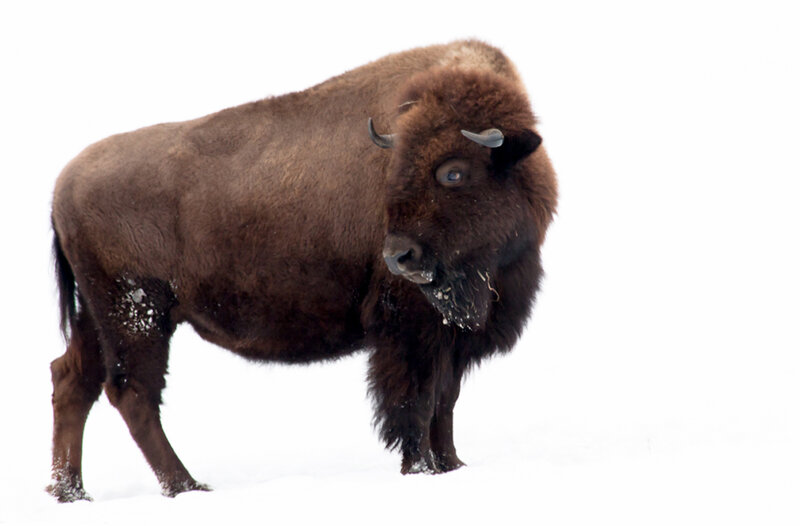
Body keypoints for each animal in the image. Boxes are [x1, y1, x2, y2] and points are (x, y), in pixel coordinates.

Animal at [48, 40, 557, 501]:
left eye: (454, 172)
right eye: (397, 168)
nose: (398, 256)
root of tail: (62, 186)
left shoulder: (453, 336)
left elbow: (444, 402)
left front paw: (453, 465)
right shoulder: (410, 329)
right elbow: (416, 400)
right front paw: (423, 470)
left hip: (97, 315)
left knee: (72, 381)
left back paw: (71, 493)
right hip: (138, 315)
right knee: (133, 394)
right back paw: (187, 487)